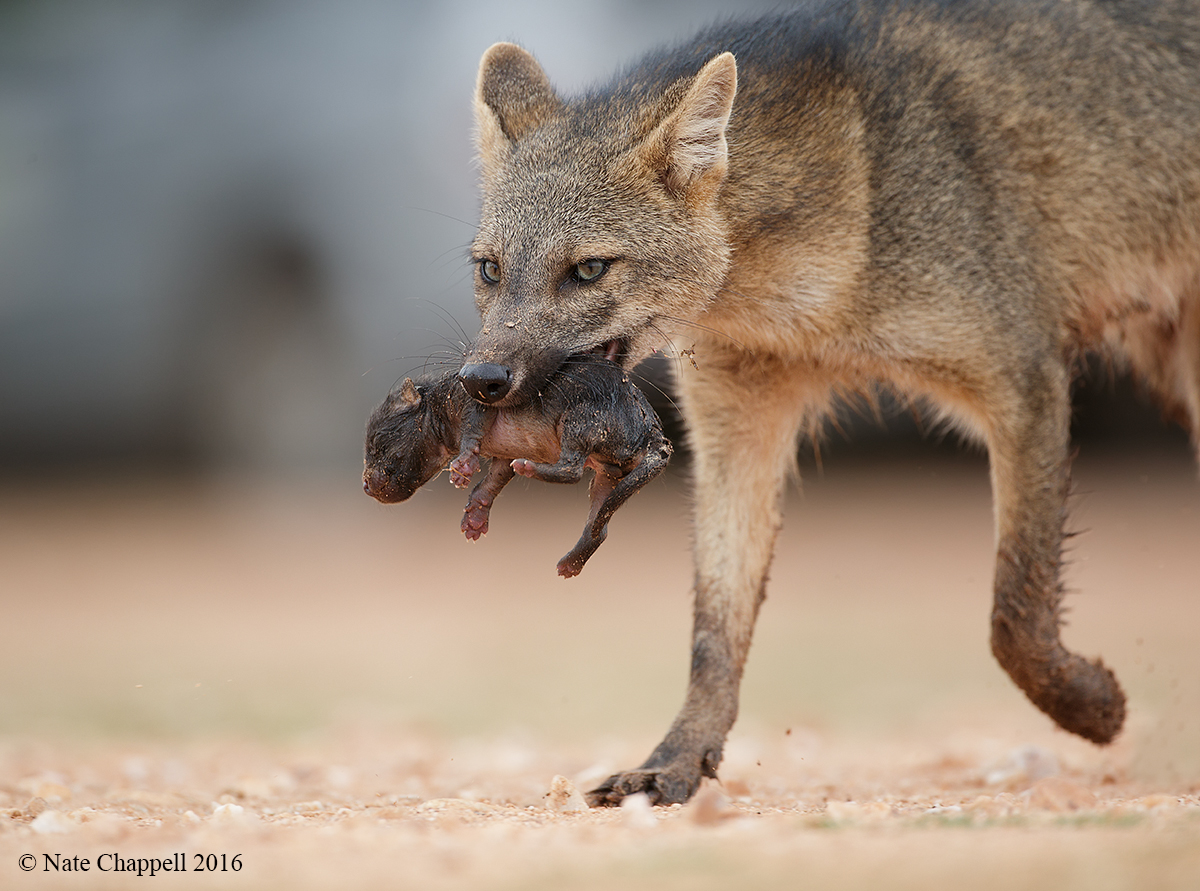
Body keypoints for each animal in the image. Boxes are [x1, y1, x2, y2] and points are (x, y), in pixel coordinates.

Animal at [454, 0, 1200, 806]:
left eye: (589, 270)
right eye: (490, 270)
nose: (482, 379)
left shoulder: (1023, 379)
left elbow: (1016, 609)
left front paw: (1093, 706)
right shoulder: (736, 425)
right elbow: (714, 626)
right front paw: (677, 760)